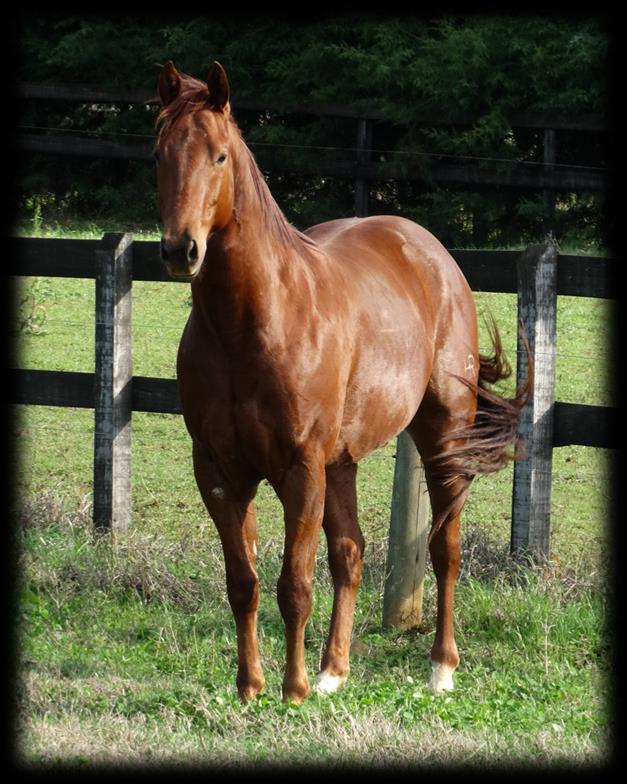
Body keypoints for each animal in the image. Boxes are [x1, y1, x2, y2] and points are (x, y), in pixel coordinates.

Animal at [155, 61, 532, 704]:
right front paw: (251, 687)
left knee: (445, 549)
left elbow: (294, 583)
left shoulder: (300, 467)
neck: (251, 323)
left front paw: (293, 690)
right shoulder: (220, 472)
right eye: (160, 152)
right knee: (351, 553)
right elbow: (243, 581)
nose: (183, 250)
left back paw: (440, 668)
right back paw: (336, 669)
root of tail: (432, 253)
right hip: (343, 461)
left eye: (219, 156)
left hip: (442, 438)